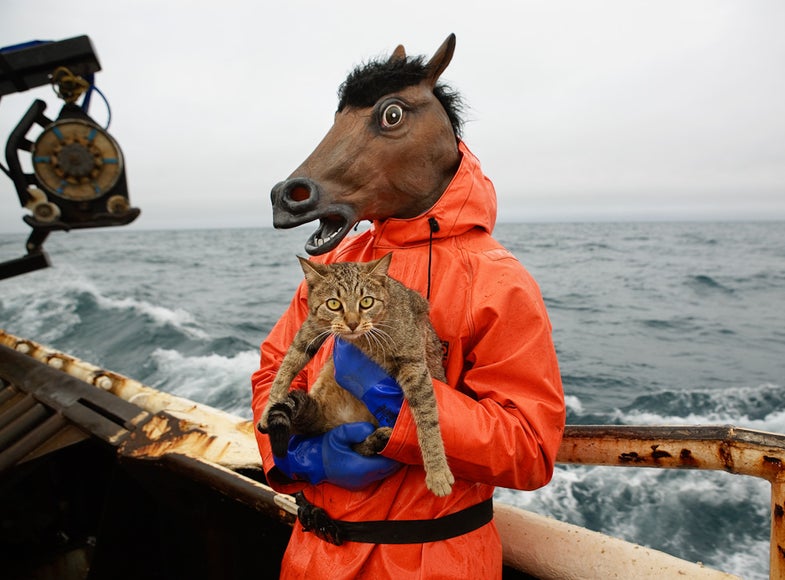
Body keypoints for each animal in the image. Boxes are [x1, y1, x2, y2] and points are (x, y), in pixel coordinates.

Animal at [258, 251, 454, 496]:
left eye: (366, 302)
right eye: (334, 304)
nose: (352, 323)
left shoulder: (414, 364)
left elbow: (427, 418)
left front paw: (437, 470)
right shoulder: (311, 327)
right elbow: (287, 365)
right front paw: (267, 409)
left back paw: (382, 438)